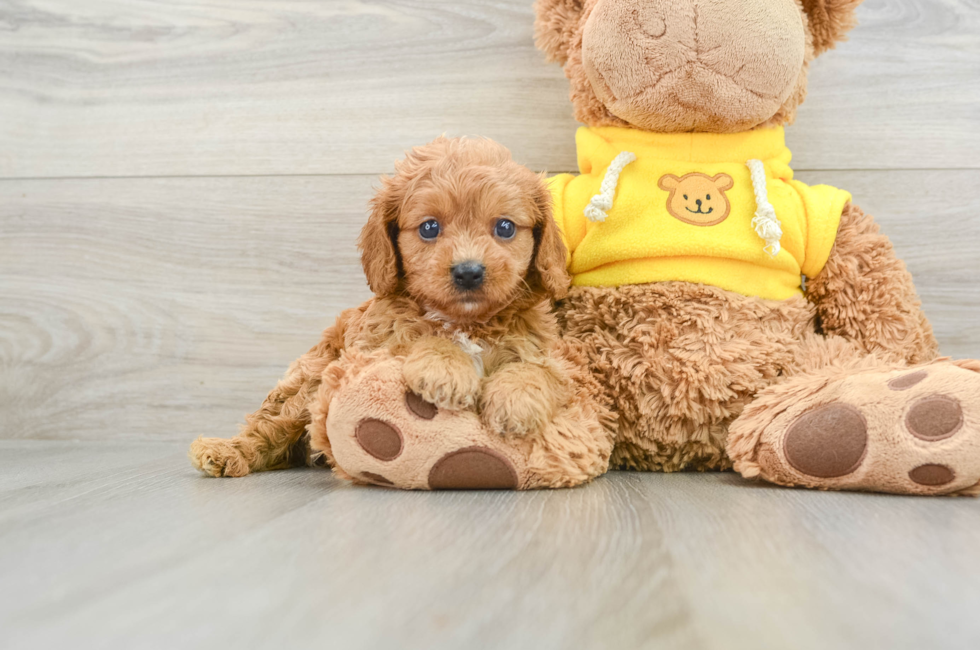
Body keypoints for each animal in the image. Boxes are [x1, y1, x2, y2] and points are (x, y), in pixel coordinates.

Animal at [190, 138, 588, 480]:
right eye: (429, 228)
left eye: (505, 227)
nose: (468, 271)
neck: (466, 322)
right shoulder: (374, 345)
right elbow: (420, 341)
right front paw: (445, 369)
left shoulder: (551, 355)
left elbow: (539, 370)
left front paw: (515, 402)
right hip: (308, 383)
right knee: (268, 428)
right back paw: (226, 452)